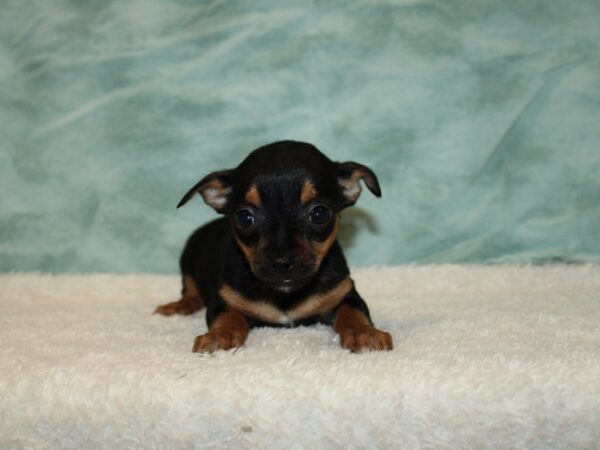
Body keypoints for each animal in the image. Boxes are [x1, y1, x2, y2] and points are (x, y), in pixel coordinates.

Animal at [154, 140, 394, 352]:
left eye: (319, 213)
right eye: (244, 217)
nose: (281, 262)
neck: (285, 295)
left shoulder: (344, 294)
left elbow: (353, 312)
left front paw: (364, 332)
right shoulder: (223, 299)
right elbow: (228, 316)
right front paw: (219, 335)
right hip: (187, 260)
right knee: (189, 290)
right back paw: (179, 306)